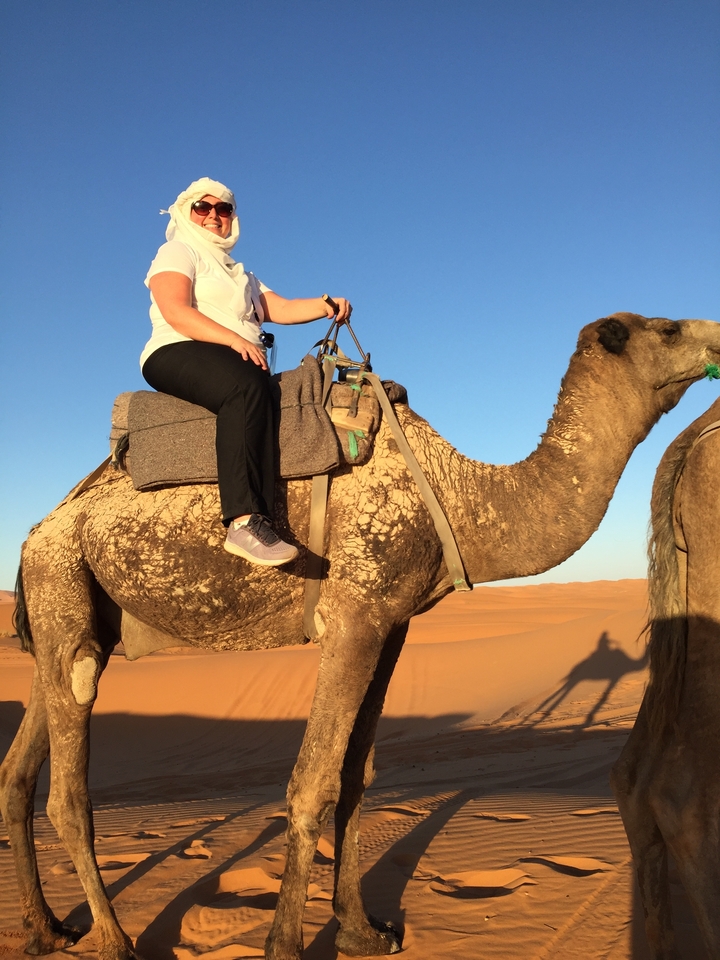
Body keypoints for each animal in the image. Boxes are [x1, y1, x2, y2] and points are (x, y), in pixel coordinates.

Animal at [2, 312, 720, 960]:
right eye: (665, 329)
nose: (715, 335)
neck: (461, 499)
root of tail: (37, 531)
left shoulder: (391, 623)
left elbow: (357, 775)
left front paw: (362, 930)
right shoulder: (352, 615)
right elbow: (313, 781)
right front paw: (284, 945)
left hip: (70, 618)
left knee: (19, 769)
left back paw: (46, 930)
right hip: (62, 581)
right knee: (68, 792)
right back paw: (114, 941)